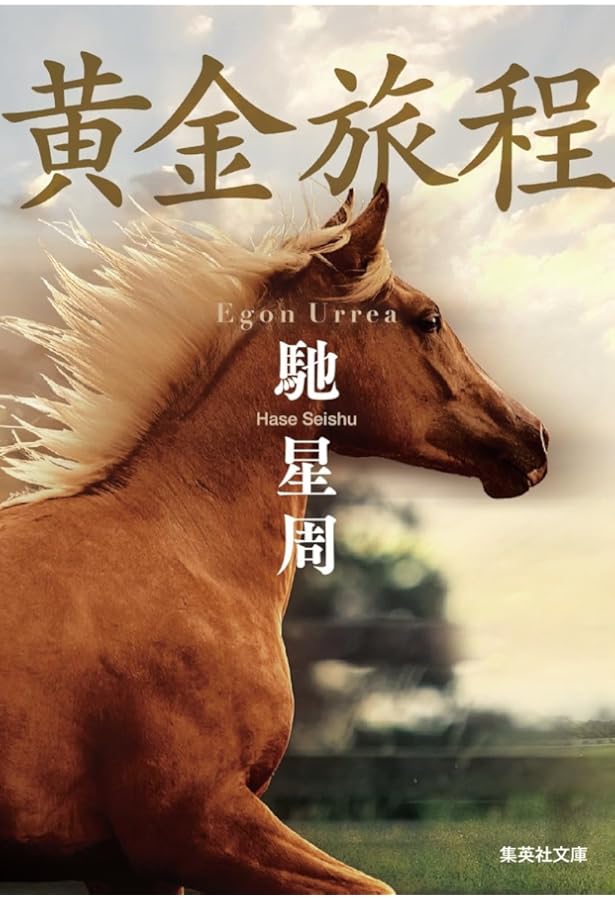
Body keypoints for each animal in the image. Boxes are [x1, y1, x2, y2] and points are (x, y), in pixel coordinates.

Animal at [0, 184, 548, 894]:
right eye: (428, 319)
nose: (534, 438)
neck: (190, 552)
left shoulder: (126, 864)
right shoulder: (194, 826)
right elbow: (377, 887)